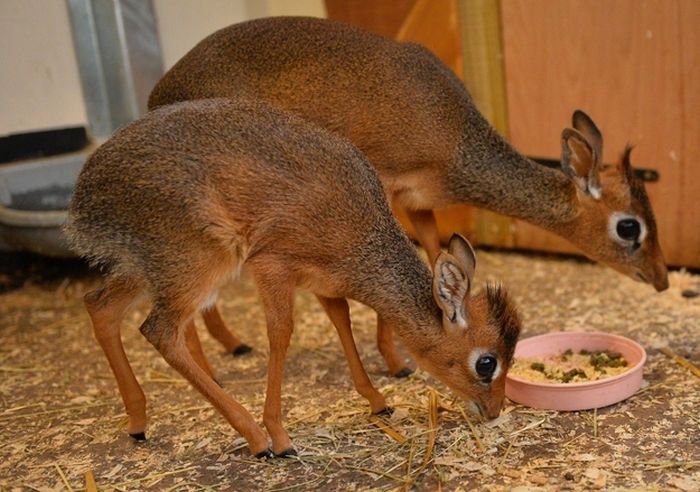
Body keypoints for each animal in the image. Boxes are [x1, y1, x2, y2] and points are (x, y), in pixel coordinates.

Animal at [64, 99, 520, 458]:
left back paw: (138, 422)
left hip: (149, 268)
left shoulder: (323, 283)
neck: (359, 235)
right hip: (198, 262)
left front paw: (377, 401)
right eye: (487, 362)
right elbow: (281, 334)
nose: (495, 410)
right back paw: (254, 437)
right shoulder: (272, 265)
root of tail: (83, 197)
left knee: (99, 306)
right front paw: (280, 434)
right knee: (159, 330)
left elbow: (342, 321)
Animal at [146, 15, 668, 376]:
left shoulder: (421, 202)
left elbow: (436, 255)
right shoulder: (386, 185)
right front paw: (397, 361)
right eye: (629, 226)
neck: (455, 140)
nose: (662, 279)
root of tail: (158, 93)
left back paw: (231, 345)